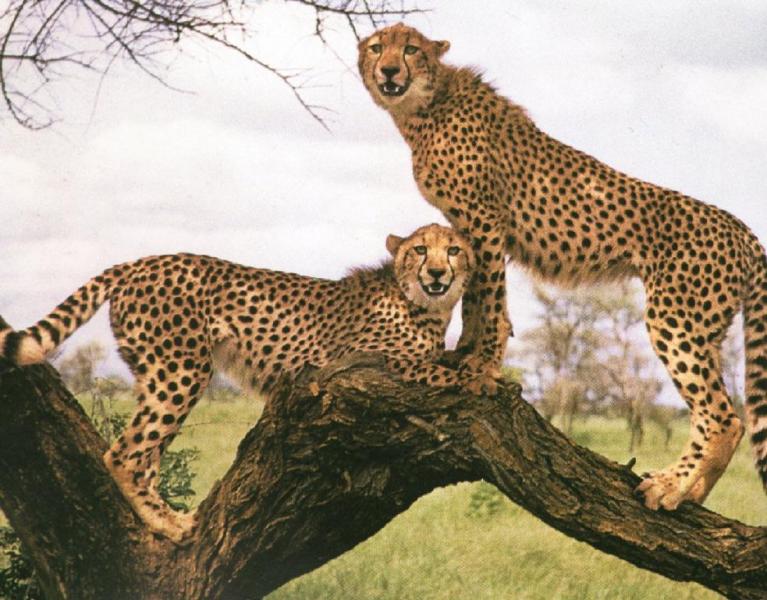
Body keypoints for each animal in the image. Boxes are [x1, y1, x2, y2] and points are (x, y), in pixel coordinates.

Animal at [0, 223, 475, 542]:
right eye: (419, 250)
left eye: (453, 250)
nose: (437, 273)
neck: (423, 303)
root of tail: (139, 262)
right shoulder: (365, 362)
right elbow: (444, 370)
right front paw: (481, 376)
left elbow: (447, 361)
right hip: (182, 369)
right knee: (125, 453)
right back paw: (171, 525)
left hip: (157, 371)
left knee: (147, 455)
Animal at [358, 23, 767, 512]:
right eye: (376, 48)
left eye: (410, 49)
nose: (388, 70)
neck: (426, 105)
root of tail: (742, 229)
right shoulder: (467, 225)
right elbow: (476, 295)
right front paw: (465, 353)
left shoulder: (485, 219)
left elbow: (488, 296)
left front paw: (482, 367)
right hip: (705, 329)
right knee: (718, 415)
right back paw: (689, 491)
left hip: (677, 318)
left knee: (724, 418)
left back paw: (672, 488)